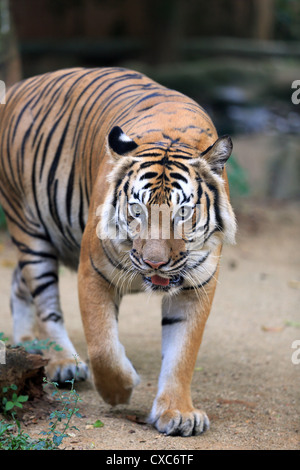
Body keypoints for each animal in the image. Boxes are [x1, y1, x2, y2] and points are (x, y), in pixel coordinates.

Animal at [0, 67, 236, 436]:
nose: (155, 262)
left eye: (183, 212)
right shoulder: (93, 272)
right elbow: (103, 346)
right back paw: (63, 362)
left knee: (17, 281)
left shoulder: (197, 285)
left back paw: (27, 343)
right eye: (137, 210)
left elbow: (182, 353)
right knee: (47, 303)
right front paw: (118, 391)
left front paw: (178, 412)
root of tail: (18, 86)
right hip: (29, 228)